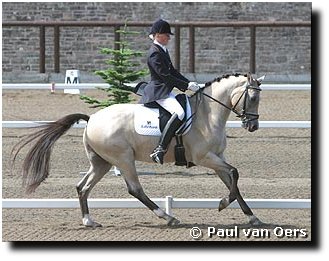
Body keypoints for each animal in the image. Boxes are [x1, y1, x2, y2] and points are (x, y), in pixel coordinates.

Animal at [10, 72, 264, 226]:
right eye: (252, 98)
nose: (253, 126)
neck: (207, 114)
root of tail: (91, 119)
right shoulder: (204, 157)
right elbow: (234, 174)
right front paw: (223, 204)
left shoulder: (217, 157)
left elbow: (232, 180)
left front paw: (252, 217)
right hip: (123, 158)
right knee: (134, 189)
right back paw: (168, 217)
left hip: (102, 162)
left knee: (82, 187)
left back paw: (89, 221)